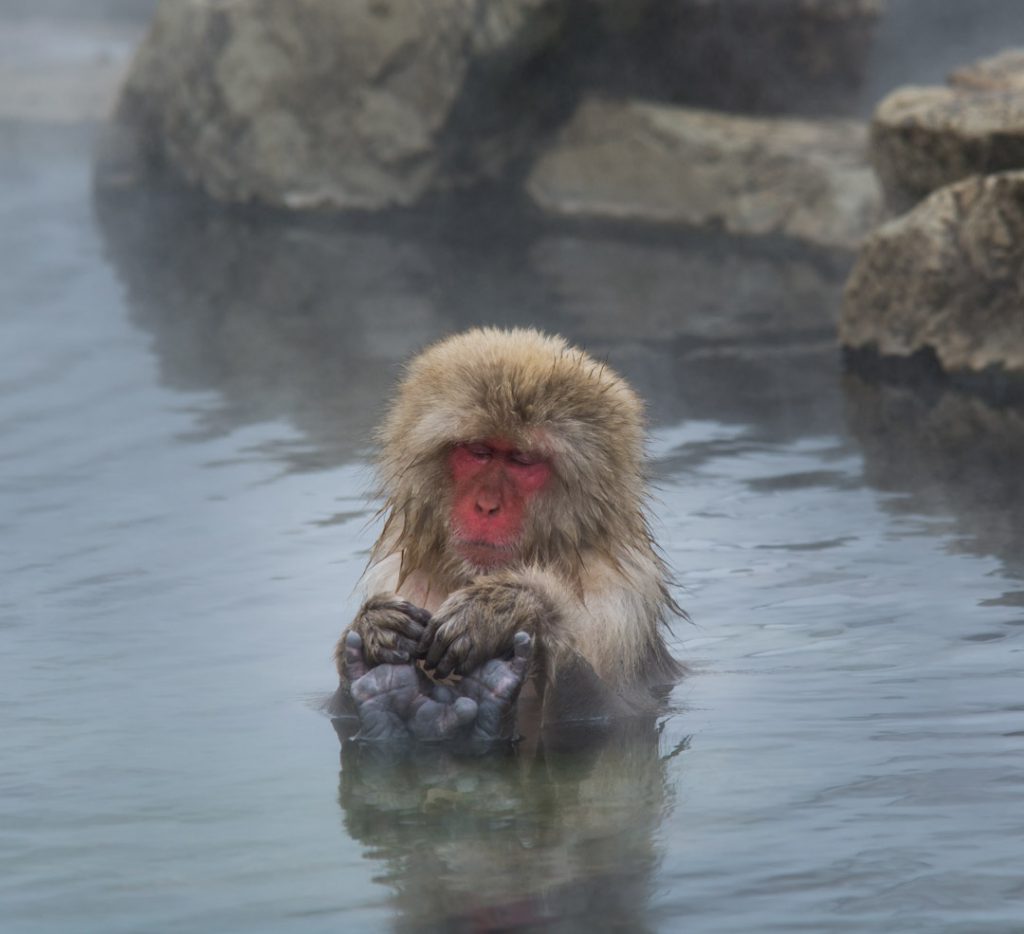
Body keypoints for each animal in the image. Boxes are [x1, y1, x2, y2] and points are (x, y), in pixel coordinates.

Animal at [335, 325, 684, 737]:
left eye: (522, 460)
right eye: (479, 451)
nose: (487, 506)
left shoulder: (619, 603)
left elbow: (612, 718)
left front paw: (511, 608)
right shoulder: (398, 577)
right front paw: (372, 625)